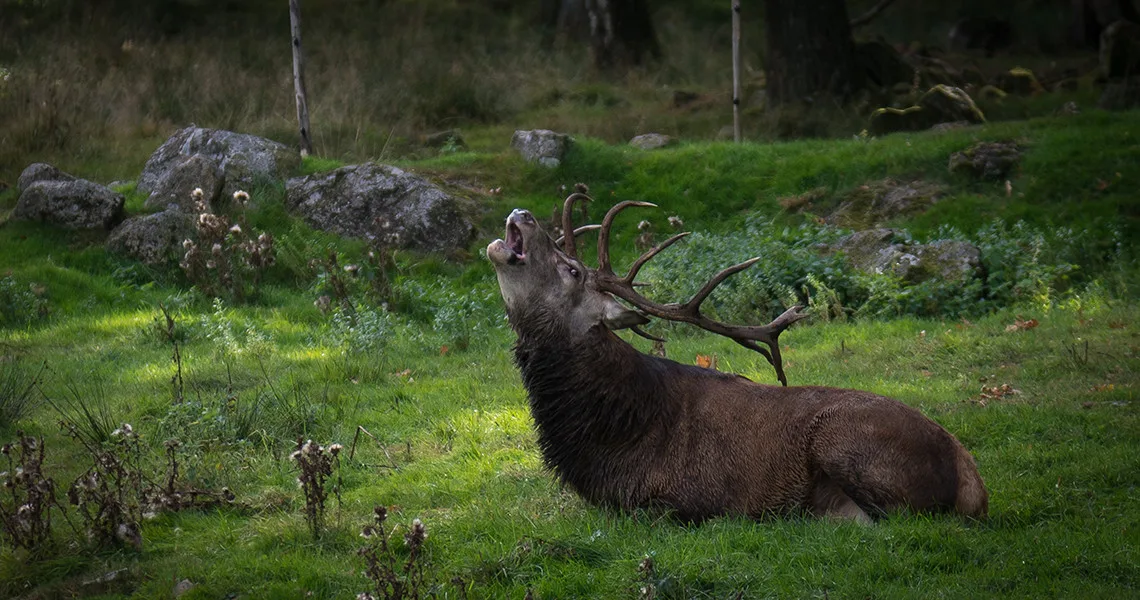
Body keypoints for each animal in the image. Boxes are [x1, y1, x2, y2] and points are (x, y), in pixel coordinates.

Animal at [486, 188, 988, 523]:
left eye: (572, 270)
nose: (523, 213)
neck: (604, 433)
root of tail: (974, 484)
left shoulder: (671, 501)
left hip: (845, 442)